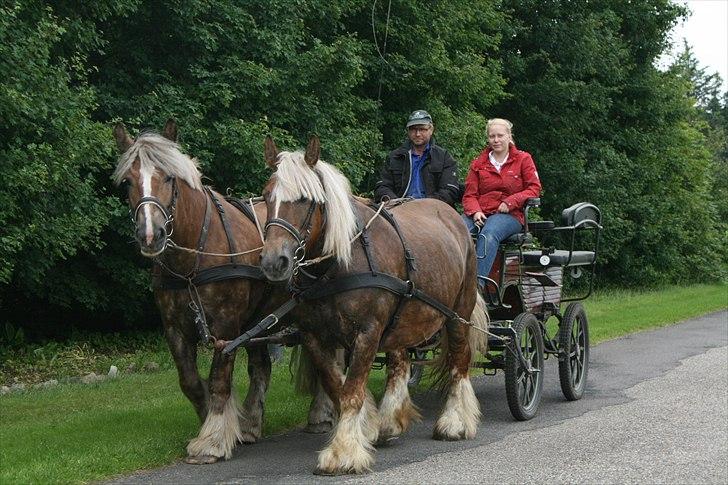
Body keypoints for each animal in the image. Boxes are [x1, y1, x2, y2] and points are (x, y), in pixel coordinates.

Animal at [111, 120, 336, 462]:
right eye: (127, 182)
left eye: (169, 177)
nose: (151, 235)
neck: (192, 262)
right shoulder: (174, 328)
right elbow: (191, 382)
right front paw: (214, 423)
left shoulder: (227, 325)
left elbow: (219, 379)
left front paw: (213, 439)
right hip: (260, 319)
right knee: (262, 367)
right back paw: (251, 424)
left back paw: (320, 413)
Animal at [258, 135, 486, 472]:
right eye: (265, 195)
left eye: (304, 199)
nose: (274, 261)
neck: (336, 265)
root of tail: (449, 215)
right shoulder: (314, 336)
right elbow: (338, 387)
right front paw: (365, 428)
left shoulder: (367, 332)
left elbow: (351, 391)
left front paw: (343, 452)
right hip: (403, 317)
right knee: (400, 363)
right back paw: (391, 421)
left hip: (458, 312)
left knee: (460, 362)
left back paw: (455, 422)